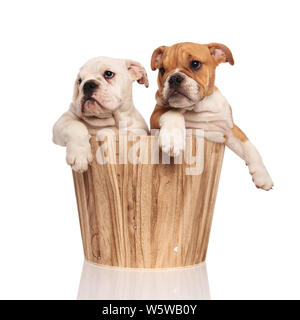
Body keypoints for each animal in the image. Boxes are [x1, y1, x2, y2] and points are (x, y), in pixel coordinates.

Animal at [151, 41, 274, 189]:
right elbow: (173, 113)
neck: (197, 108)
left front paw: (263, 175)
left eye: (195, 64)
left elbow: (249, 146)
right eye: (162, 70)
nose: (174, 78)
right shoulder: (155, 115)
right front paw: (172, 138)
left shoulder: (229, 130)